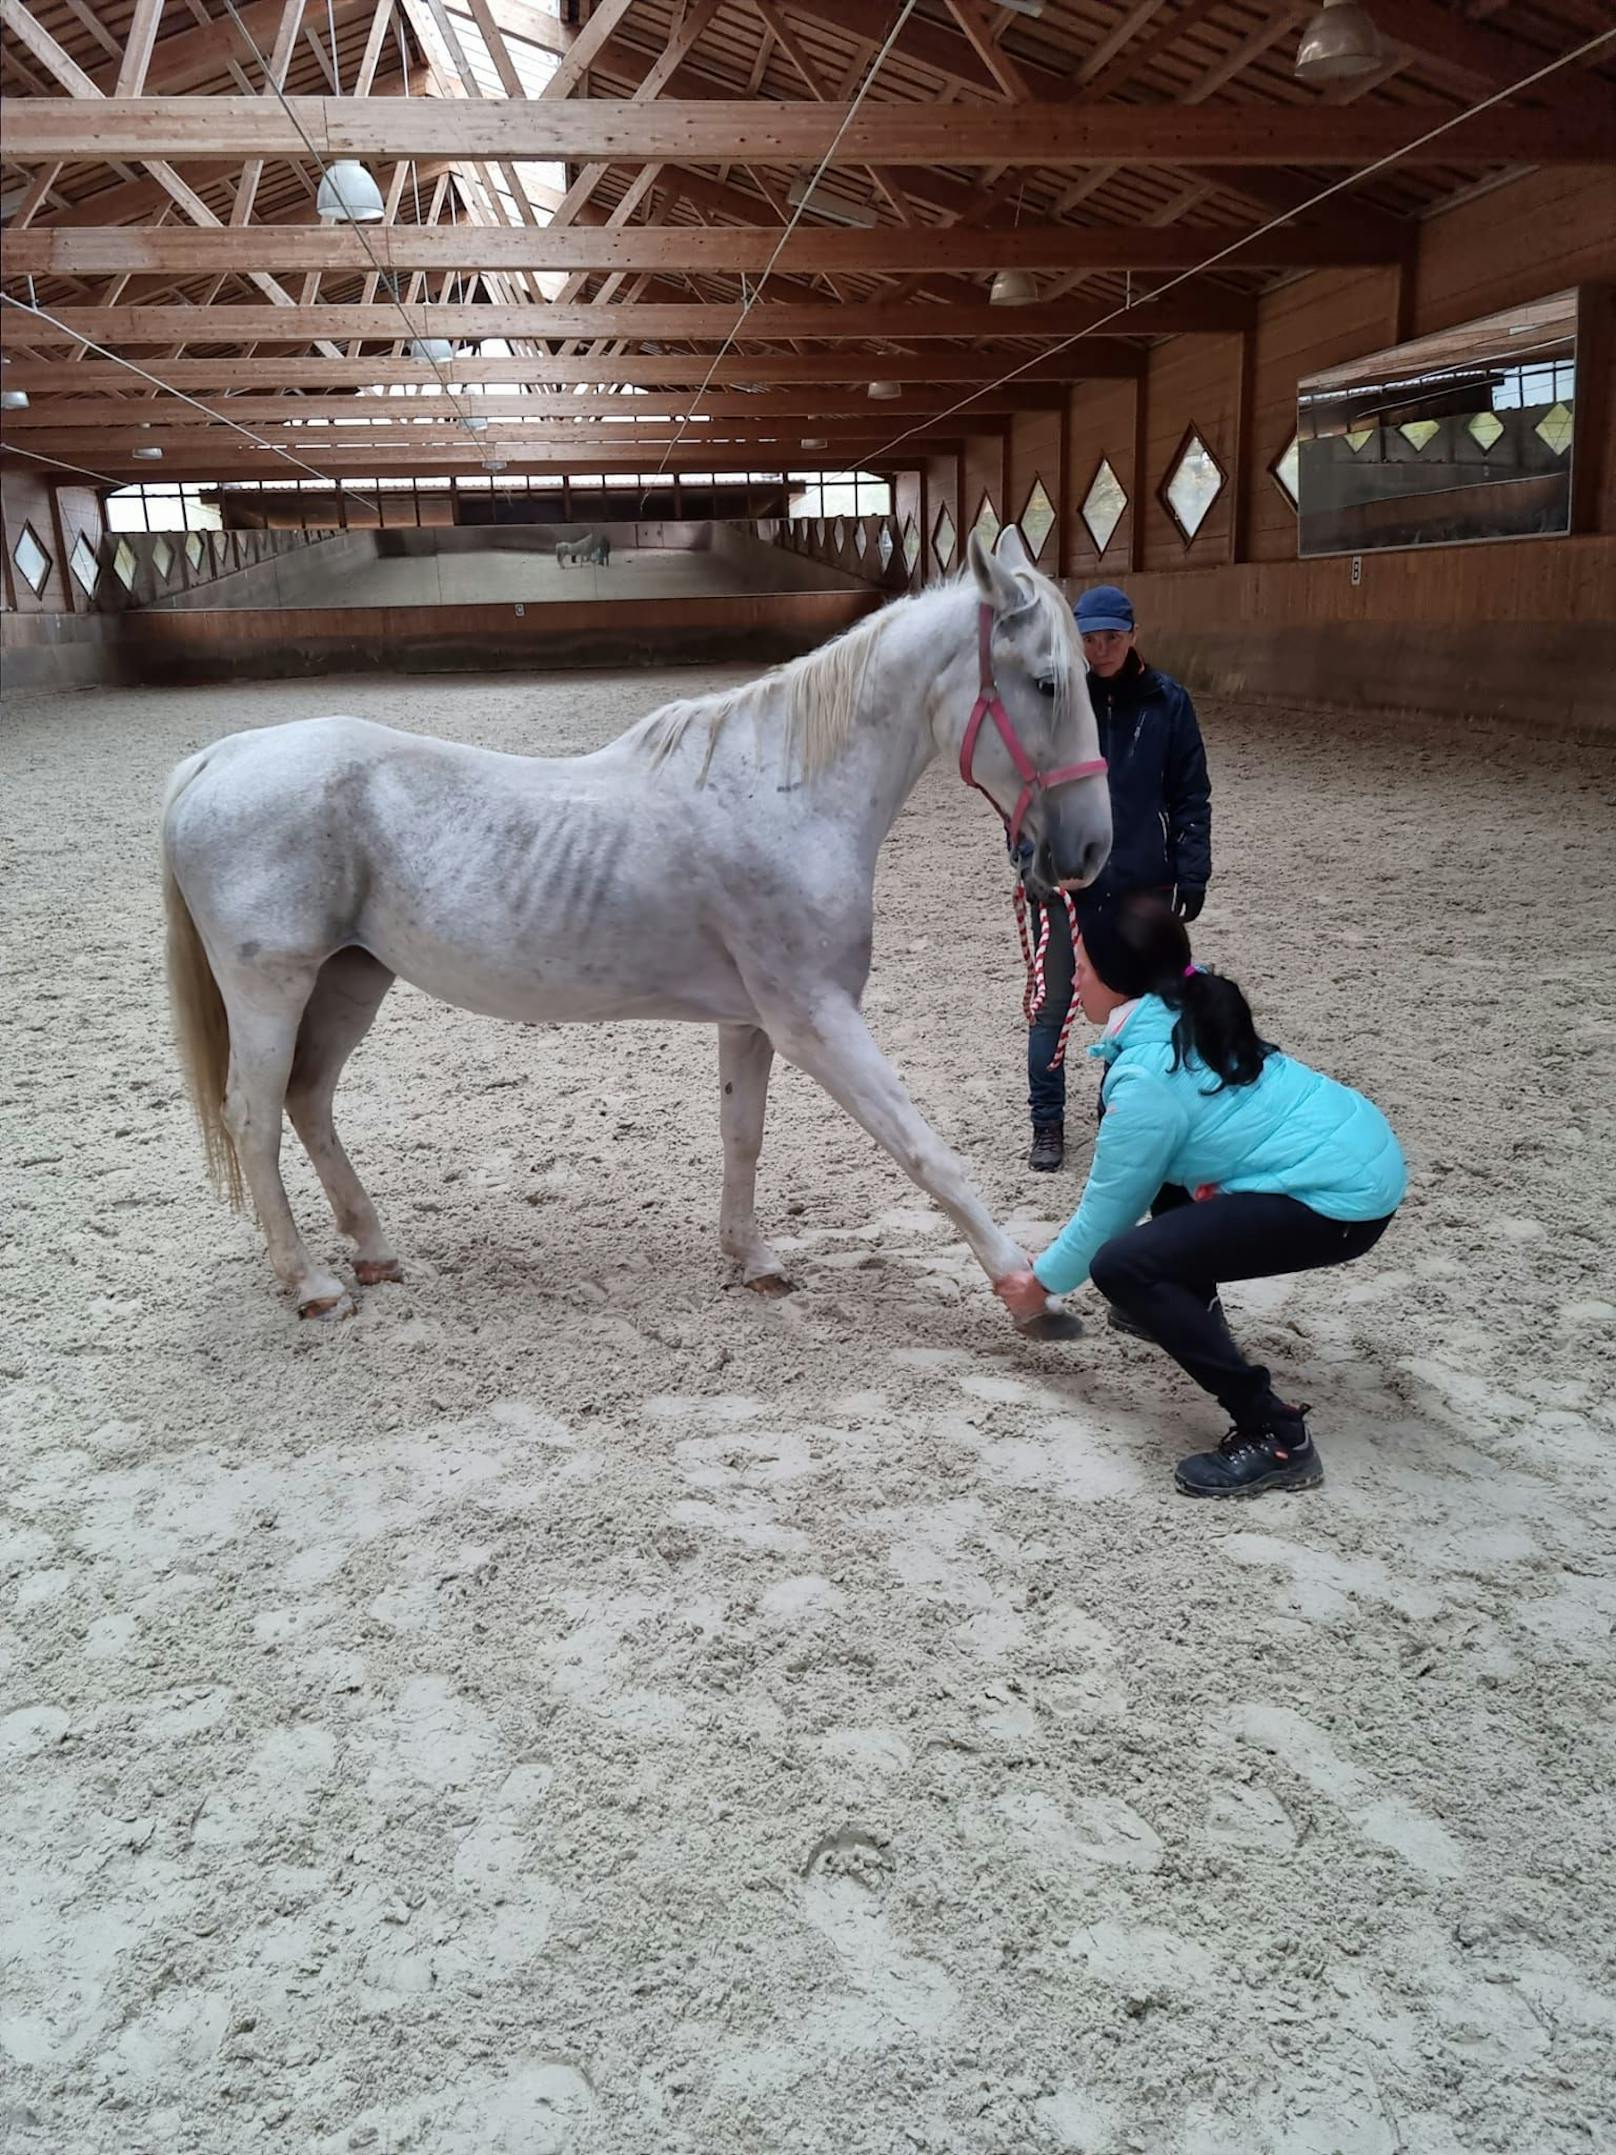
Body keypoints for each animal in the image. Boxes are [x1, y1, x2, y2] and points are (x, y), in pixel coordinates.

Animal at [161, 530, 1111, 1318]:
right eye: (1048, 682)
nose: (1091, 847)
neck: (787, 795)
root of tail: (217, 759)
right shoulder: (816, 1021)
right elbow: (926, 1151)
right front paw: (1026, 1291)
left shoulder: (751, 1022)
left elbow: (742, 1136)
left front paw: (751, 1259)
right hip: (272, 990)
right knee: (254, 1115)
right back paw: (311, 1283)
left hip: (351, 978)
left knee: (309, 1100)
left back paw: (373, 1250)